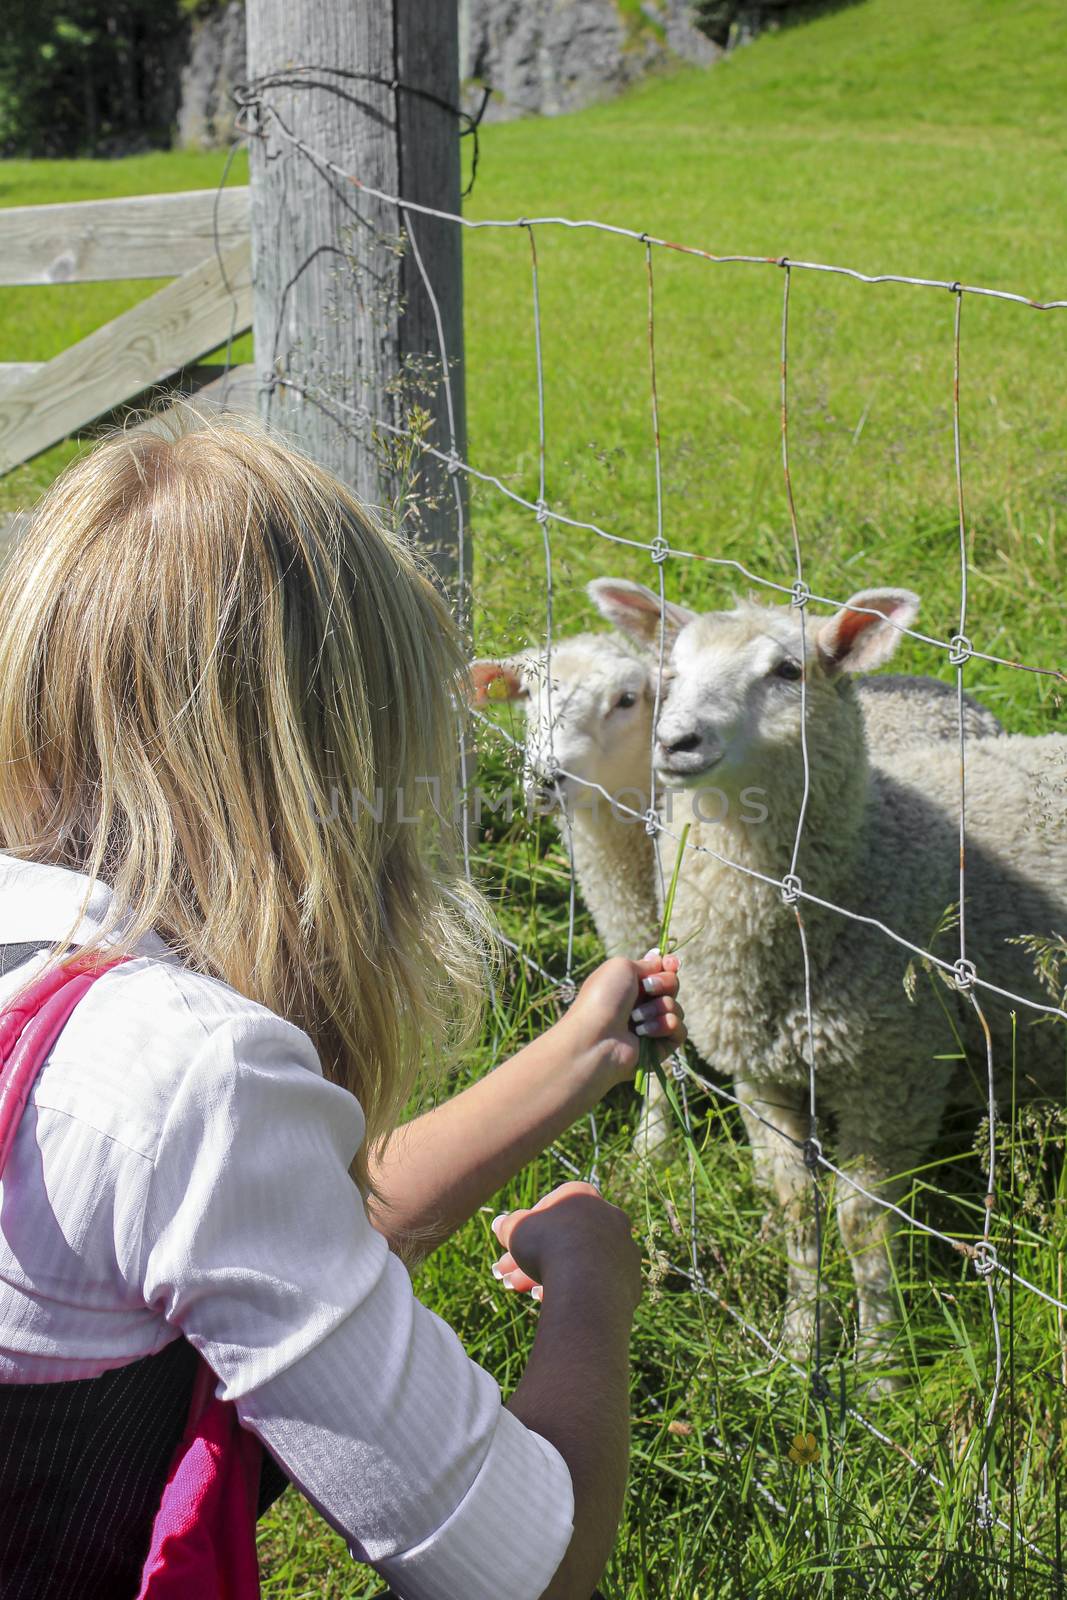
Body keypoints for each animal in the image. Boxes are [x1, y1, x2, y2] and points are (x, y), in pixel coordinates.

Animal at [588, 576, 1062, 1376]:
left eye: (787, 671)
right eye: (670, 671)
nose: (674, 742)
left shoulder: (893, 1075)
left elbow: (862, 1223)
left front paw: (878, 1366)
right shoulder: (762, 1076)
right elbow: (795, 1210)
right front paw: (797, 1342)